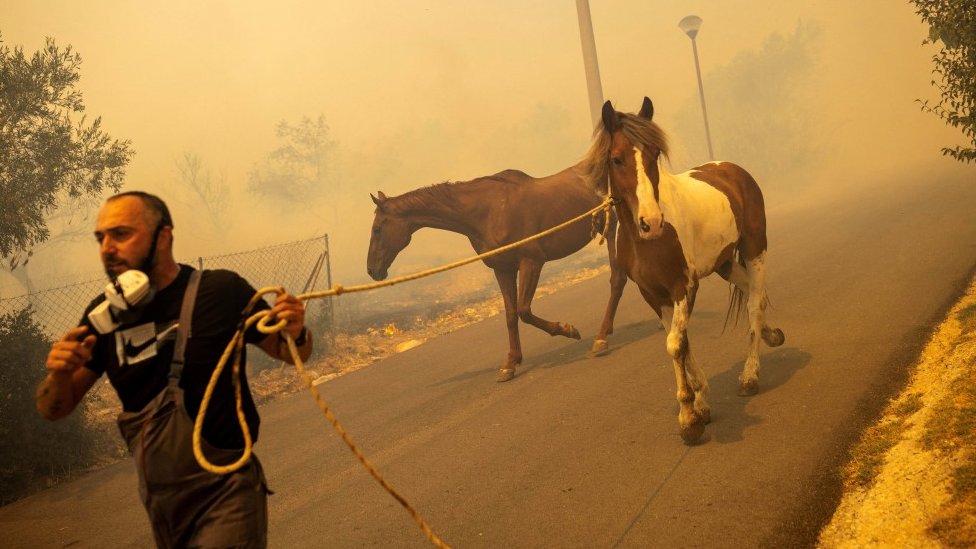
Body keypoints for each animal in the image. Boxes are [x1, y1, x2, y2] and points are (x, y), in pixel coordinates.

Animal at [364, 165, 624, 384]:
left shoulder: (531, 262)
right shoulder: (503, 270)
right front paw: (510, 363)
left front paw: (567, 329)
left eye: (377, 229)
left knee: (617, 279)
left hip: (613, 228)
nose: (372, 270)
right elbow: (510, 315)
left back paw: (601, 337)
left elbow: (524, 311)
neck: (487, 212)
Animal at [580, 98, 784, 440]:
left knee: (754, 303)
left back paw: (749, 376)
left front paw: (689, 417)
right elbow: (681, 343)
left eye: (653, 154)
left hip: (755, 249)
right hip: (724, 263)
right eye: (616, 159)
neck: (647, 242)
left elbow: (676, 344)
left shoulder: (684, 287)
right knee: (752, 292)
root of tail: (731, 168)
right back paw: (772, 335)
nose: (651, 222)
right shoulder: (653, 294)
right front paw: (701, 403)